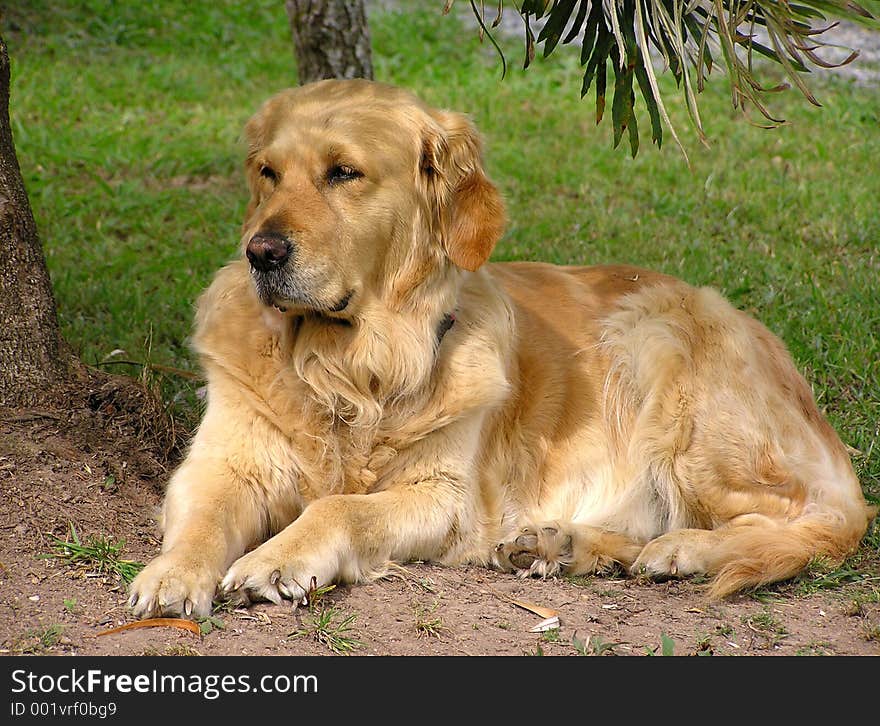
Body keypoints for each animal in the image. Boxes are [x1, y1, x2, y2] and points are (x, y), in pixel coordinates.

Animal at [129, 78, 872, 620]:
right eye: (267, 172)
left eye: (344, 173)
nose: (261, 252)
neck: (348, 366)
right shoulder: (221, 464)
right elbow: (202, 519)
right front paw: (172, 574)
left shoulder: (446, 498)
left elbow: (339, 506)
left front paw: (276, 558)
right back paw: (562, 543)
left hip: (658, 347)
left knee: (811, 523)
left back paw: (683, 548)